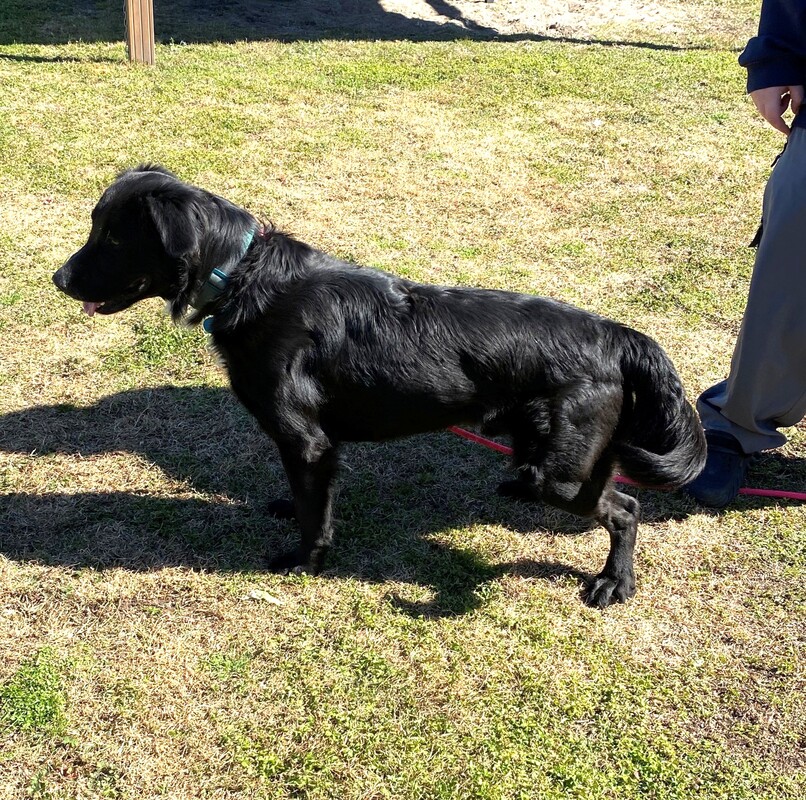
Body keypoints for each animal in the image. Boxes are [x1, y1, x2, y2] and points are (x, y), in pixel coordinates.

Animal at [52, 165, 706, 607]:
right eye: (95, 227)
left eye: (114, 238)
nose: (58, 278)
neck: (240, 277)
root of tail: (619, 335)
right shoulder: (310, 450)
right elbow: (307, 499)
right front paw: (290, 511)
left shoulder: (308, 441)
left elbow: (315, 516)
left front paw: (304, 561)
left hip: (560, 473)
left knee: (626, 509)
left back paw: (614, 582)